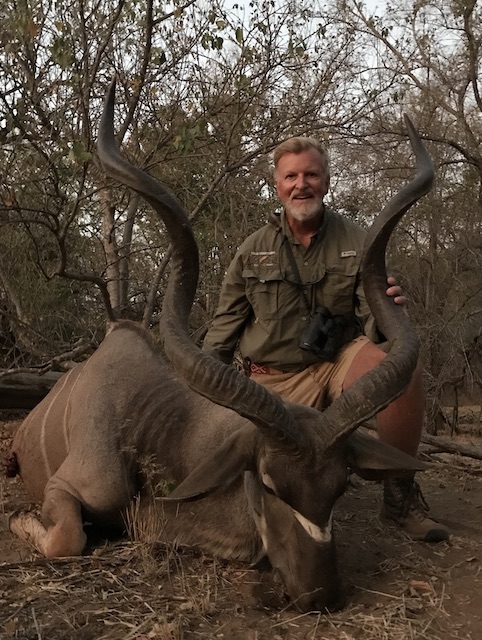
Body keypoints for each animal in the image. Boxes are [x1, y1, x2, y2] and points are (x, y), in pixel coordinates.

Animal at [3, 79, 434, 608]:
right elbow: (67, 538)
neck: (153, 424)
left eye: (341, 488)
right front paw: (22, 518)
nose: (320, 593)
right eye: (269, 484)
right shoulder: (69, 486)